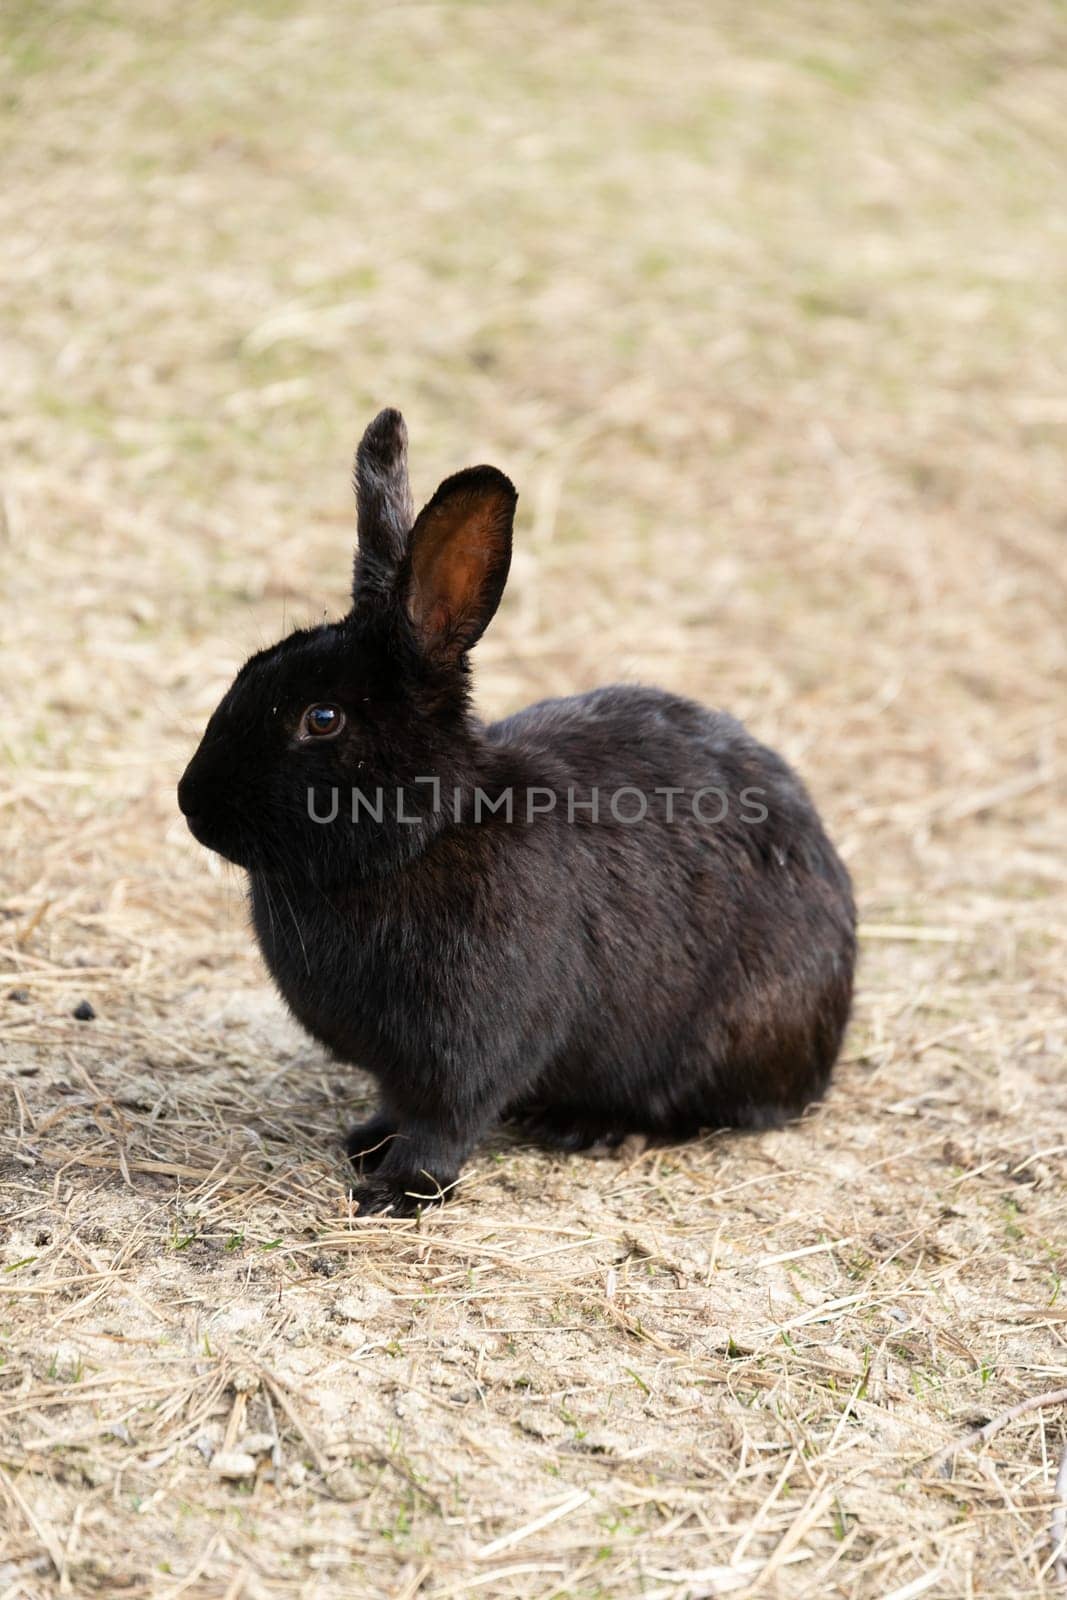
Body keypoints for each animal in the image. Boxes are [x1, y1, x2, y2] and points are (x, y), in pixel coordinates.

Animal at [179, 409, 857, 1209]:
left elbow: (446, 1119)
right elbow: (396, 1103)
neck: (425, 835)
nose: (192, 805)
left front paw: (397, 1191)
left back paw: (595, 1129)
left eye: (322, 718)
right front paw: (365, 1143)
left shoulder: (469, 1046)